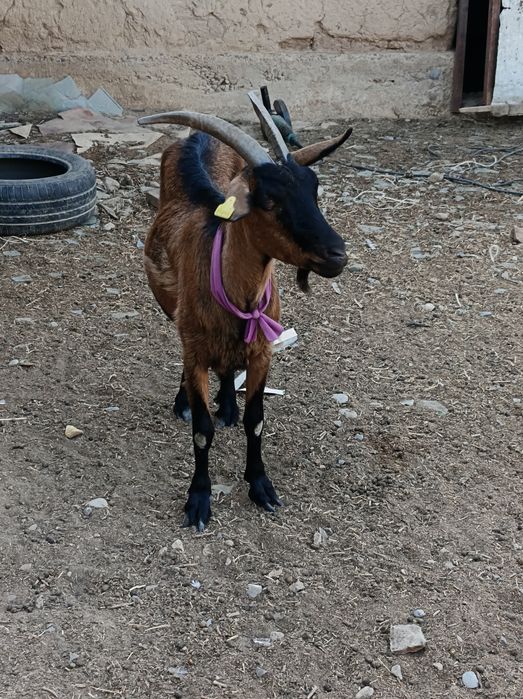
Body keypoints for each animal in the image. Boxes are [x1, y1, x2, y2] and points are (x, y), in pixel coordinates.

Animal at [138, 94, 351, 530]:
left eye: (314, 191)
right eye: (270, 200)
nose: (338, 254)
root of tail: (195, 138)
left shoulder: (262, 352)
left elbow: (257, 420)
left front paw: (261, 486)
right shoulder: (196, 350)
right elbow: (202, 430)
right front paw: (198, 499)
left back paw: (228, 405)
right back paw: (185, 401)